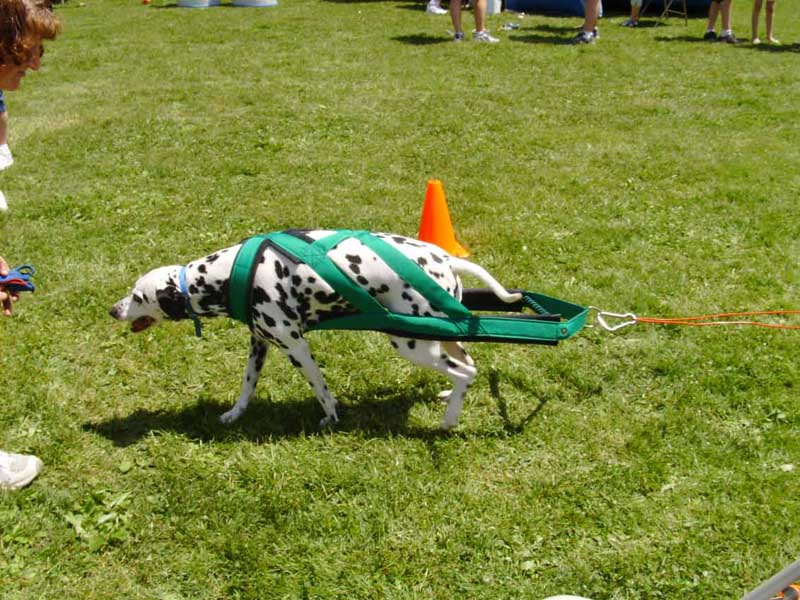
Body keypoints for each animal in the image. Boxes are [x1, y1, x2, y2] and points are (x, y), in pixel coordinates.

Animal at [109, 230, 520, 432]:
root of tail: (444, 258)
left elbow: (322, 390)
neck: (228, 273)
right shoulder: (259, 345)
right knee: (469, 367)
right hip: (442, 338)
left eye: (138, 296)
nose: (113, 310)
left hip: (411, 343)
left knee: (465, 372)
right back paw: (449, 397)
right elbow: (246, 389)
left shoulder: (297, 347)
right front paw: (234, 415)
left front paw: (330, 419)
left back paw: (449, 420)